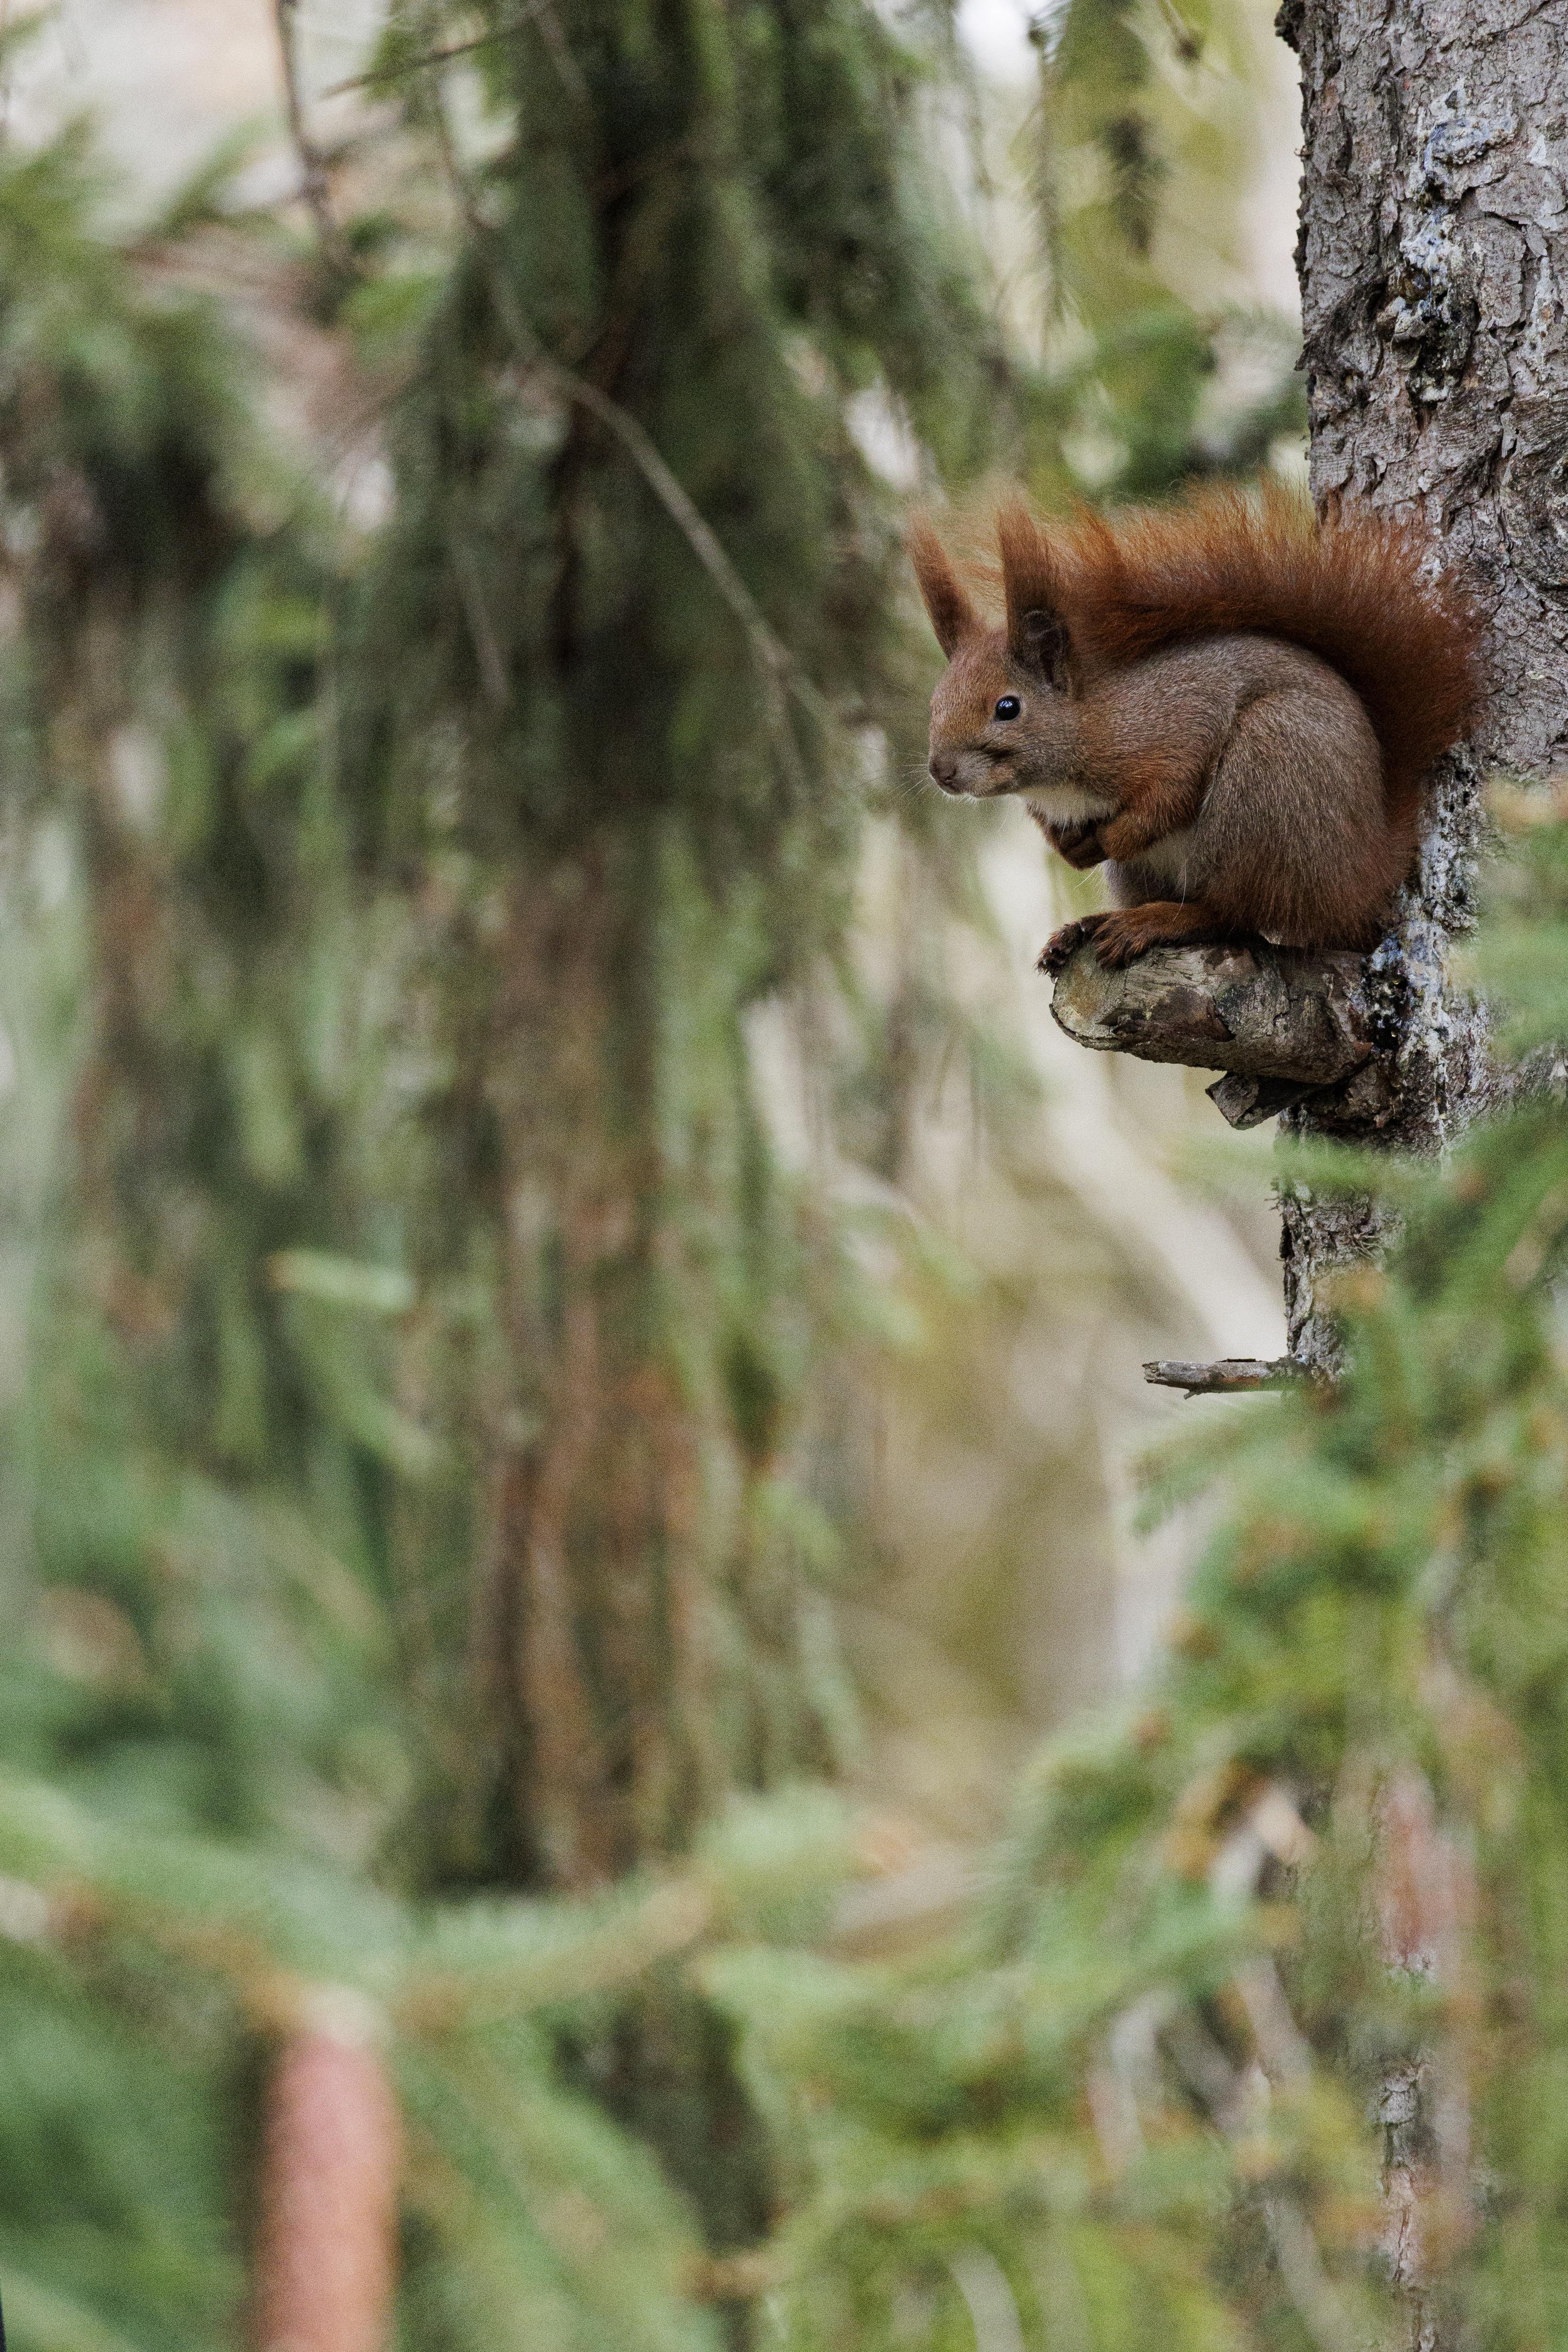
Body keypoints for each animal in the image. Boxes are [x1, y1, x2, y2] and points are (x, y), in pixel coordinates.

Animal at [907, 487, 1486, 974]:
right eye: (933, 703)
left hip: (1267, 783)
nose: (941, 772)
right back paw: (1088, 926)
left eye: (1008, 707)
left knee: (1234, 913)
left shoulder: (1175, 729)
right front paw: (1069, 848)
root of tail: (1364, 870)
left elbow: (1172, 793)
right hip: (1152, 867)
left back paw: (1157, 921)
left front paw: (1114, 836)